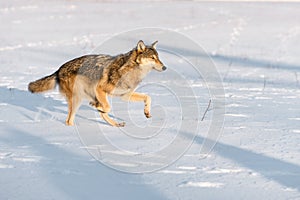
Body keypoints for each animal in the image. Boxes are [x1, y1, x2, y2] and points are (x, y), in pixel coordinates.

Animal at [28, 40, 166, 126]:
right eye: (152, 58)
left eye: (158, 58)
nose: (164, 67)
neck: (131, 71)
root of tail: (59, 69)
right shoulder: (100, 89)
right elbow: (107, 107)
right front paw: (98, 107)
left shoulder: (125, 95)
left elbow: (148, 97)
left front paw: (147, 113)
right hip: (78, 98)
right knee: (69, 121)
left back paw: (116, 124)